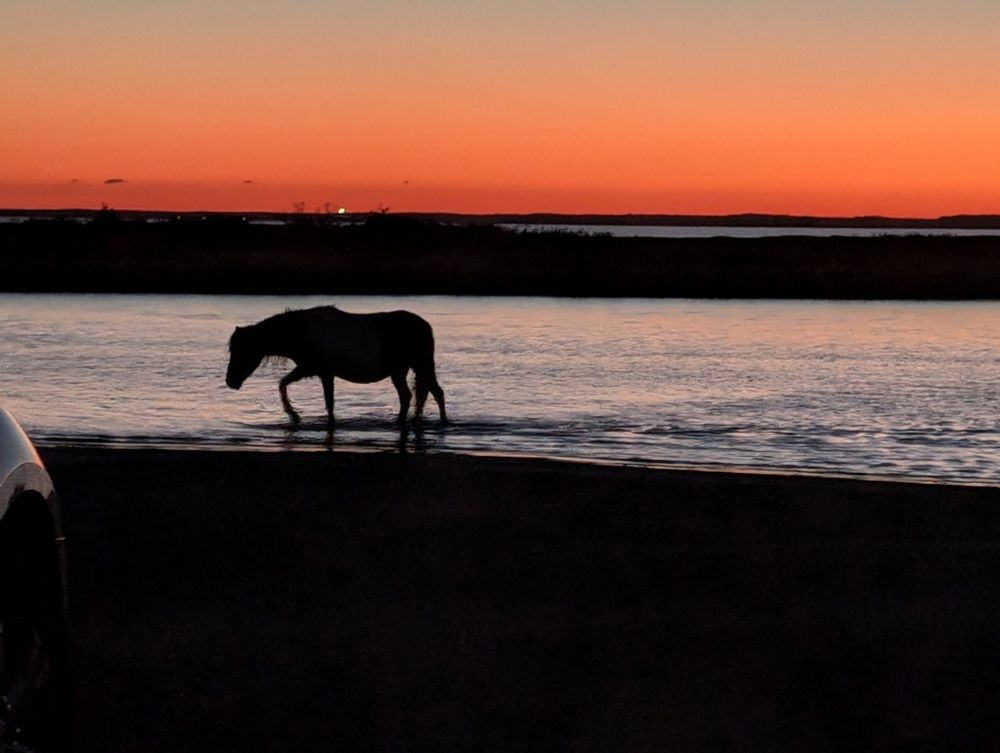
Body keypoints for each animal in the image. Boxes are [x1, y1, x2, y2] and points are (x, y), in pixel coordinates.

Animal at [226, 305, 447, 427]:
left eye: (242, 351)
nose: (230, 382)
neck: (301, 332)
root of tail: (425, 325)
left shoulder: (319, 371)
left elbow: (327, 401)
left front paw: (295, 415)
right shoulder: (312, 370)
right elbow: (285, 385)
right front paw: (295, 416)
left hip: (421, 365)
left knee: (435, 393)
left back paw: (441, 422)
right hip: (401, 370)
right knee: (410, 396)